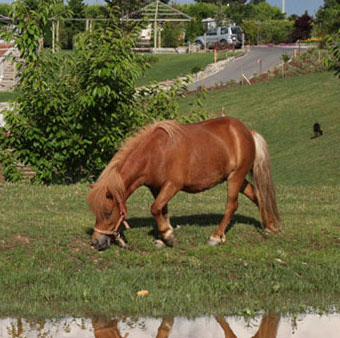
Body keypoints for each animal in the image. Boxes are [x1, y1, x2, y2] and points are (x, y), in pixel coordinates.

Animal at [88, 117, 282, 251]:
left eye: (108, 212)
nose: (96, 242)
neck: (154, 153)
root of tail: (248, 132)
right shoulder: (157, 188)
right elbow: (162, 210)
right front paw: (165, 237)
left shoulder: (173, 185)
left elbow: (155, 208)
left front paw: (168, 236)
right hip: (236, 179)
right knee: (258, 196)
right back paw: (269, 226)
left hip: (236, 177)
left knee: (232, 206)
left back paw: (216, 236)